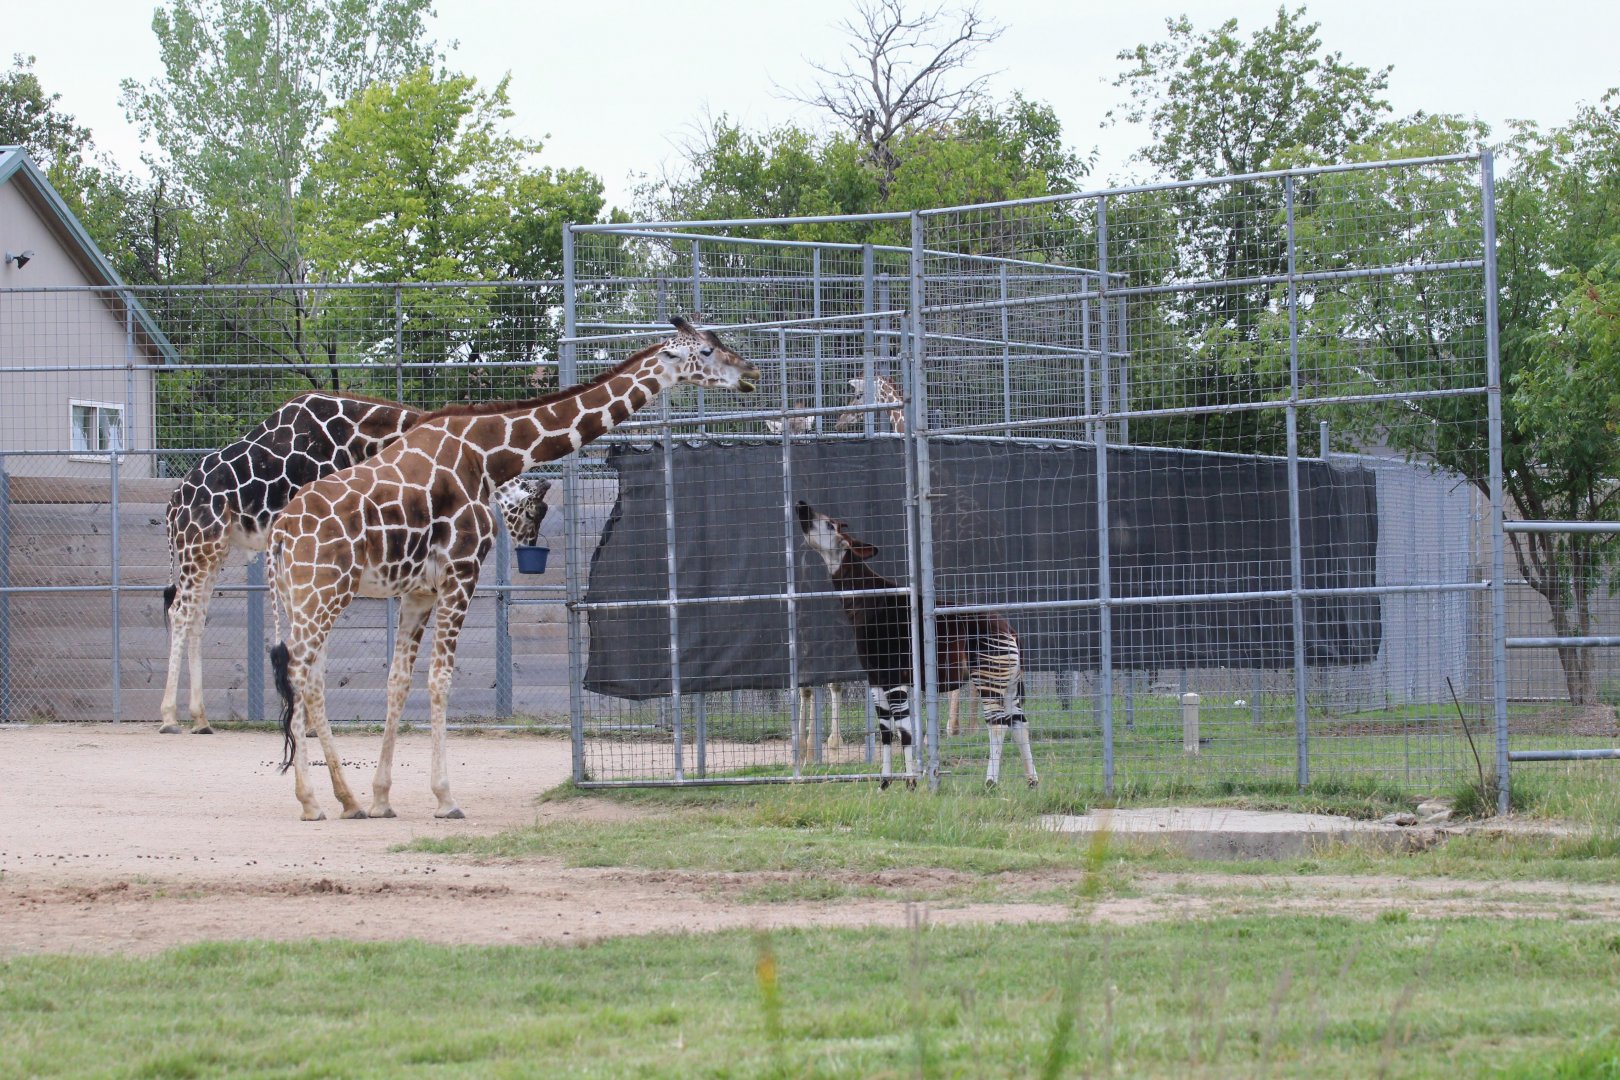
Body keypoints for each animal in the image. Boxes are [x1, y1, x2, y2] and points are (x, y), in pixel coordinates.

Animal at [159, 394, 550, 734]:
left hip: (215, 550)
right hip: (199, 544)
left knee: (197, 618)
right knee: (180, 611)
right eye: (534, 512)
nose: (528, 548)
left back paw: (201, 719)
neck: (359, 435)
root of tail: (173, 504)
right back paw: (169, 718)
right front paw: (311, 726)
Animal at [267, 317, 759, 820]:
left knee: (306, 675)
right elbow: (440, 679)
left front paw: (383, 798)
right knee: (300, 674)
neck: (488, 455)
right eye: (705, 350)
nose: (751, 373)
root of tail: (280, 530)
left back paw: (342, 800)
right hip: (324, 592)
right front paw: (445, 798)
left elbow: (398, 682)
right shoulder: (462, 571)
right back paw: (318, 801)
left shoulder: (418, 590)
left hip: (300, 596)